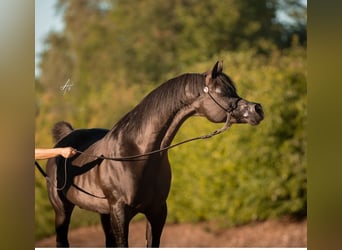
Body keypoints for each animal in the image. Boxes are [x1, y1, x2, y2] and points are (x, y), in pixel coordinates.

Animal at [45, 61, 264, 247]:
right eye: (222, 92)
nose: (258, 109)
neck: (138, 154)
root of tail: (65, 139)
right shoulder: (120, 213)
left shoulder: (157, 212)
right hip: (62, 210)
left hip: (103, 213)